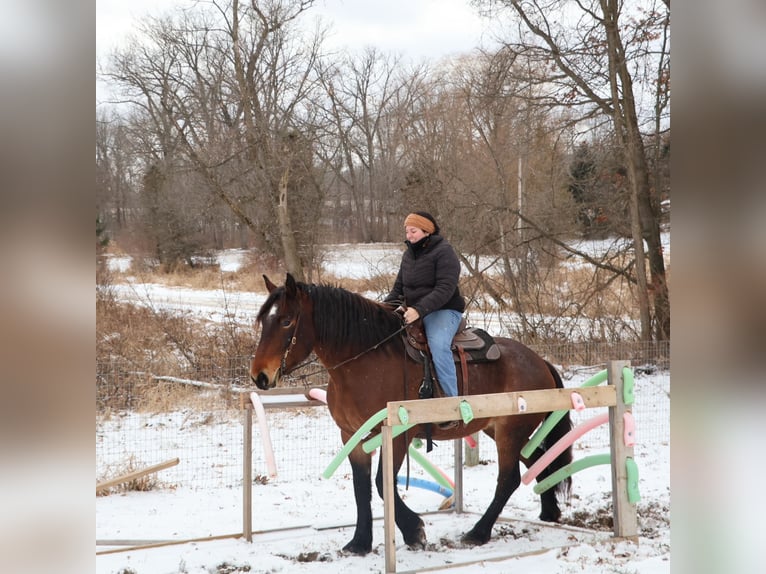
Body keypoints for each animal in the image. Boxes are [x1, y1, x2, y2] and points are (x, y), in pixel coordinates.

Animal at [250, 274, 573, 555]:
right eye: (263, 320)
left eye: (286, 321)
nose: (259, 376)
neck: (362, 362)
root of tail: (539, 360)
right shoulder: (351, 435)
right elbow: (361, 487)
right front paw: (360, 543)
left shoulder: (398, 434)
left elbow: (382, 483)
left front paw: (414, 531)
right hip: (498, 429)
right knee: (538, 461)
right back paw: (549, 511)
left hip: (510, 431)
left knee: (509, 479)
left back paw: (478, 533)